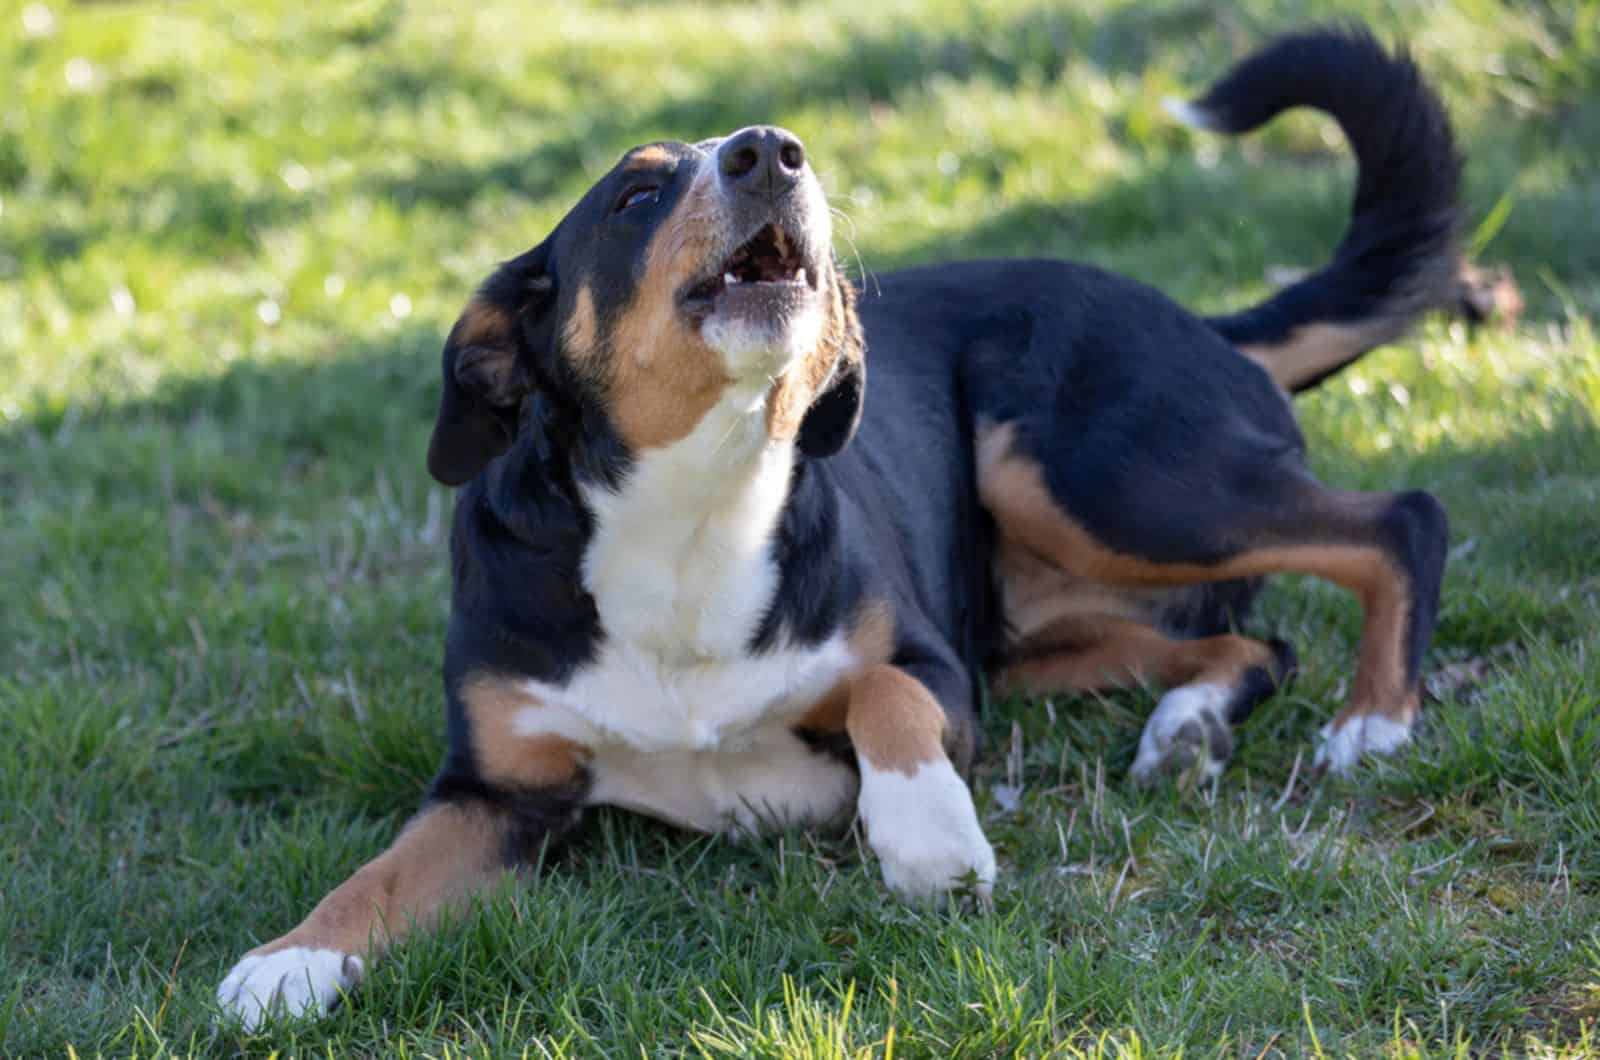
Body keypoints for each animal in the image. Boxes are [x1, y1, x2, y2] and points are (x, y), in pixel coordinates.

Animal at [216, 31, 1465, 1031]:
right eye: (632, 196)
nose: (770, 150)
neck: (696, 507)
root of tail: (1199, 321)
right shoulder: (494, 787)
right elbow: (385, 870)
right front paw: (290, 961)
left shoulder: (936, 672)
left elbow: (882, 693)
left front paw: (927, 834)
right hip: (1043, 625)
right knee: (1249, 643)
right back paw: (1188, 727)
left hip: (1097, 475)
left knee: (1399, 518)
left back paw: (1374, 719)